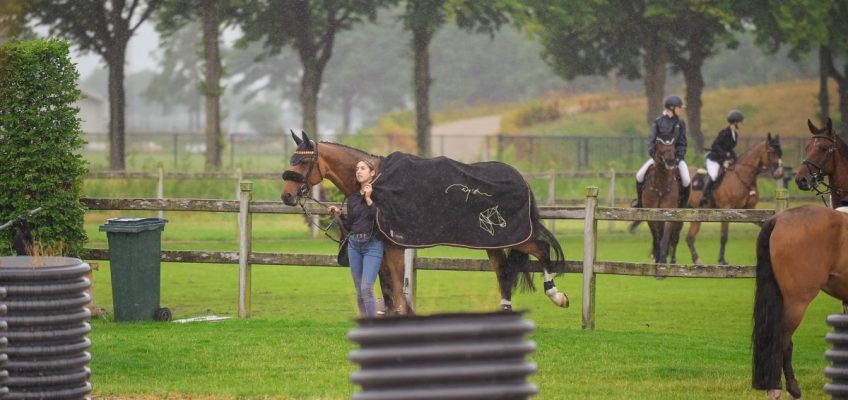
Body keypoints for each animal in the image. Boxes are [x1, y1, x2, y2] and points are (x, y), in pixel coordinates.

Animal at [280, 133, 568, 314]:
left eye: (303, 161)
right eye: (291, 159)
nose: (287, 196)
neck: (377, 183)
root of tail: (521, 179)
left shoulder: (394, 245)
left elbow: (397, 288)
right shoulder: (383, 246)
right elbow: (388, 288)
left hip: (516, 235)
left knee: (542, 249)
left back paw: (557, 295)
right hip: (493, 240)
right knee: (503, 270)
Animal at [640, 136, 684, 264]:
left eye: (673, 149)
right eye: (661, 149)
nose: (671, 162)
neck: (660, 185)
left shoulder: (669, 214)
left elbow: (665, 237)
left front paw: (662, 259)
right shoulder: (651, 216)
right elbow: (656, 236)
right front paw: (656, 256)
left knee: (675, 238)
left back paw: (673, 260)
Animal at [684, 134, 784, 266]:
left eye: (780, 152)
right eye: (770, 152)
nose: (780, 173)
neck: (742, 177)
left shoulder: (750, 210)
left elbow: (763, 224)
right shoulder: (726, 209)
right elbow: (724, 236)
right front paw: (722, 260)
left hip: (696, 214)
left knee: (690, 237)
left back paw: (697, 260)